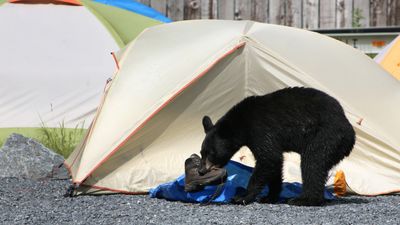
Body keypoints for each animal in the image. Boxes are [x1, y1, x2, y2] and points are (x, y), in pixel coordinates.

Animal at [198, 87, 354, 207]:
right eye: (201, 152)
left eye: (211, 153)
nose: (200, 171)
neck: (242, 124)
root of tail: (350, 133)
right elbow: (275, 164)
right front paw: (269, 197)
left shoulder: (261, 130)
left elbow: (268, 158)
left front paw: (242, 197)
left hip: (325, 136)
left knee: (312, 163)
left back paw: (304, 200)